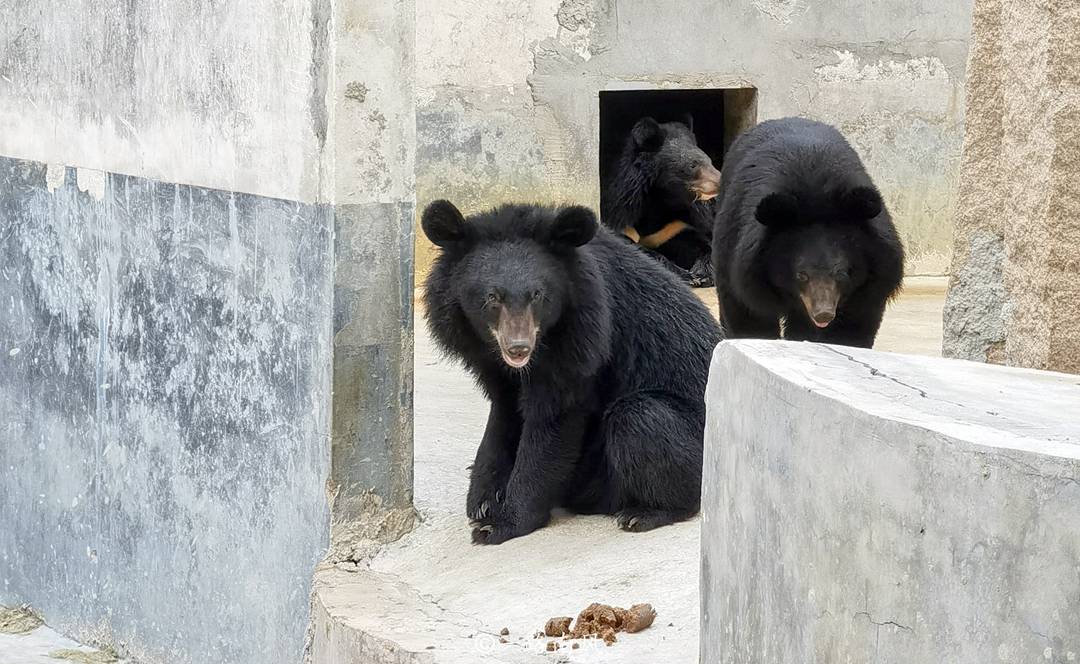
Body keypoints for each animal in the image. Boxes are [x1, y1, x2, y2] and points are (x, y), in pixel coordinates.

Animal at [425, 200, 721, 546]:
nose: (518, 348)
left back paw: (645, 513)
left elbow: (553, 422)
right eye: (492, 297)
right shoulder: (487, 359)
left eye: (538, 295)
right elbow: (503, 413)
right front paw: (482, 500)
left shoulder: (583, 338)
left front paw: (501, 524)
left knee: (640, 417)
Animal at [604, 117, 721, 289]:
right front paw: (687, 276)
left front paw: (702, 273)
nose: (720, 181)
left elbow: (695, 241)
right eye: (692, 165)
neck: (661, 198)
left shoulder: (674, 225)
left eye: (710, 161)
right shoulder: (619, 208)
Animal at [717, 118, 902, 347]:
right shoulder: (742, 262)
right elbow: (748, 312)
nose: (823, 313)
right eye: (801, 275)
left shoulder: (875, 276)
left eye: (841, 272)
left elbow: (856, 320)